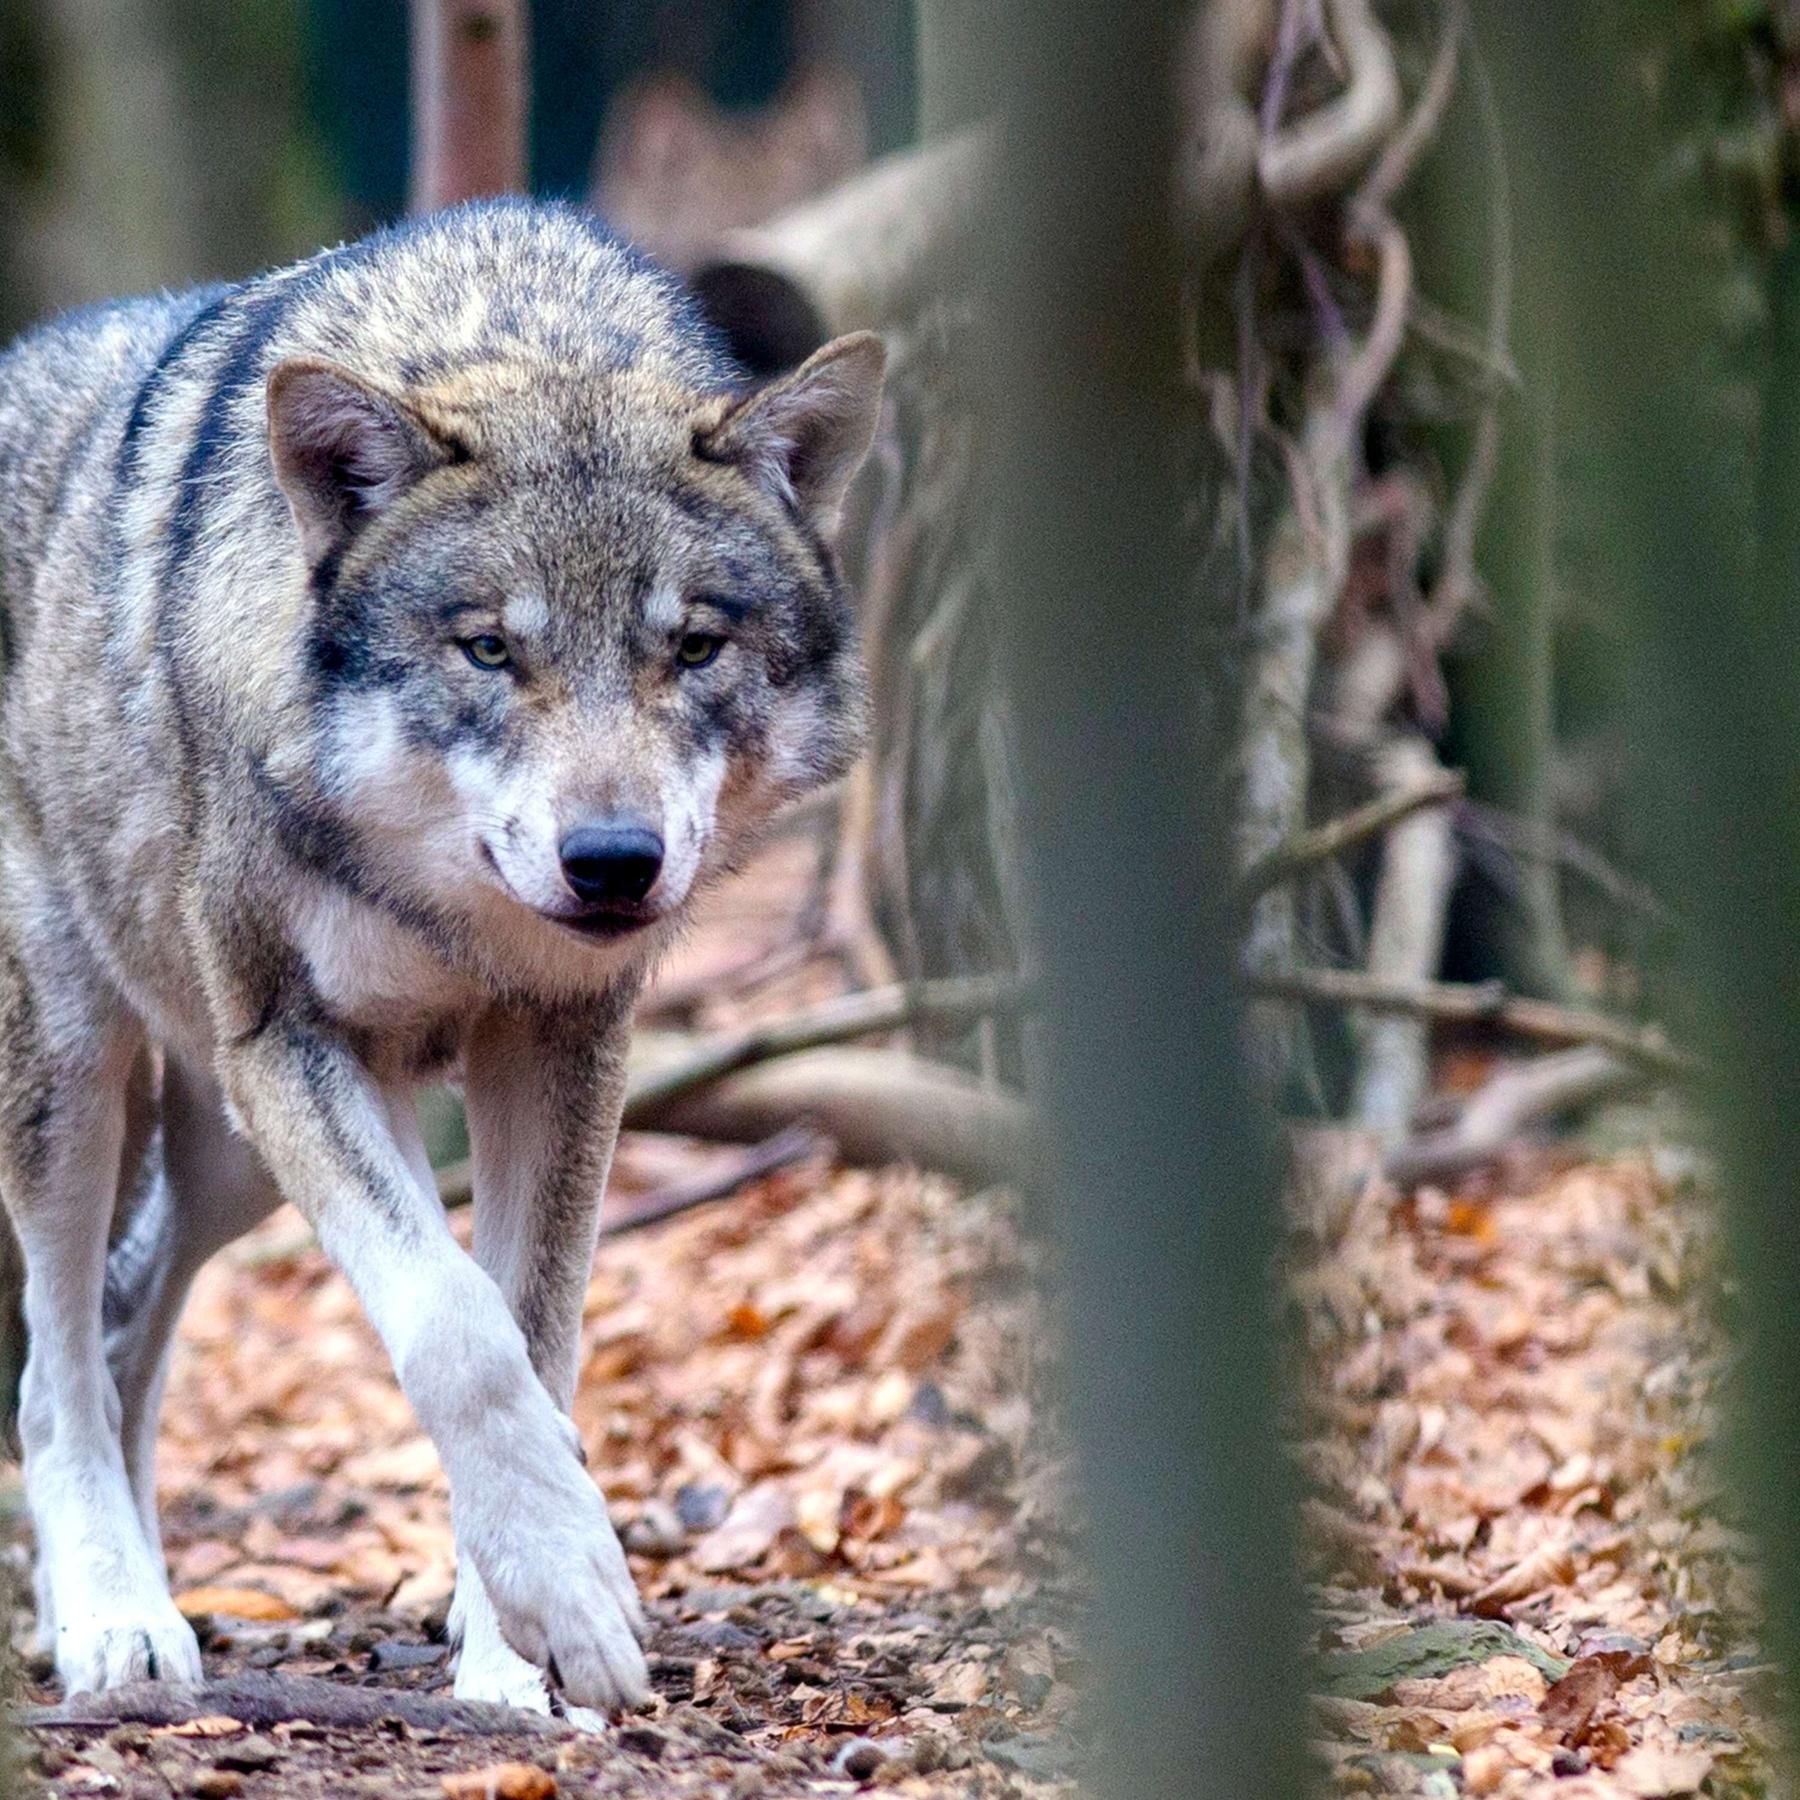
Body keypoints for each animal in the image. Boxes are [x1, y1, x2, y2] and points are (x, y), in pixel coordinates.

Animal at [0, 199, 881, 1714]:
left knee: (122, 1335)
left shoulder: (561, 1043)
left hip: (224, 1155)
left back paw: (113, 1603)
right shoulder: (296, 1044)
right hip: (81, 1072)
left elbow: (531, 1337)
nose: (613, 862)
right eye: (488, 651)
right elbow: (459, 1332)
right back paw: (116, 1623)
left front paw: (511, 1656)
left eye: (694, 647)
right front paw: (571, 1598)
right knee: (56, 1365)